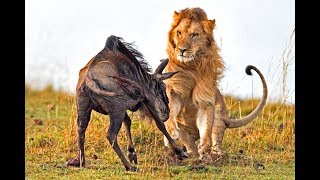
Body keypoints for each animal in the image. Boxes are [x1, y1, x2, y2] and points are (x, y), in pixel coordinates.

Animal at [161, 7, 268, 160]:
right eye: (179, 32)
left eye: (194, 35)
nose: (181, 50)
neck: (191, 66)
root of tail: (227, 119)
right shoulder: (173, 91)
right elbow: (170, 113)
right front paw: (170, 134)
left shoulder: (205, 100)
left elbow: (206, 129)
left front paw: (205, 151)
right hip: (186, 133)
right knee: (190, 145)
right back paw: (187, 153)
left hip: (218, 118)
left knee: (216, 139)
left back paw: (215, 155)